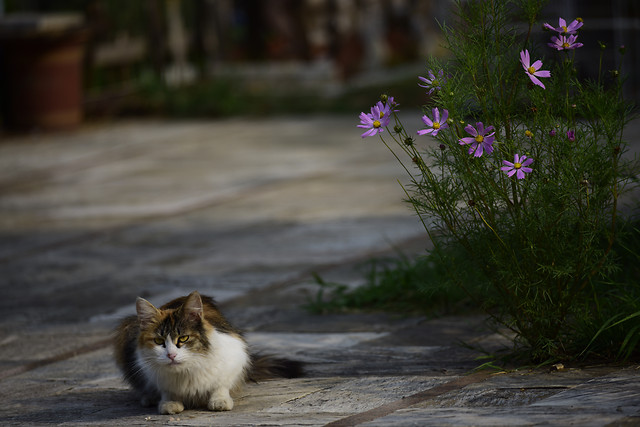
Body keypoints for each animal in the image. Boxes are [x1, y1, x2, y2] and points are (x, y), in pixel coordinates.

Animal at [114, 290, 300, 414]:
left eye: (183, 338)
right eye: (159, 341)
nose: (171, 355)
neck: (186, 371)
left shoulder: (235, 357)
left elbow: (221, 384)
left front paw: (220, 401)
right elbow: (167, 391)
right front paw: (169, 403)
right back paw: (149, 398)